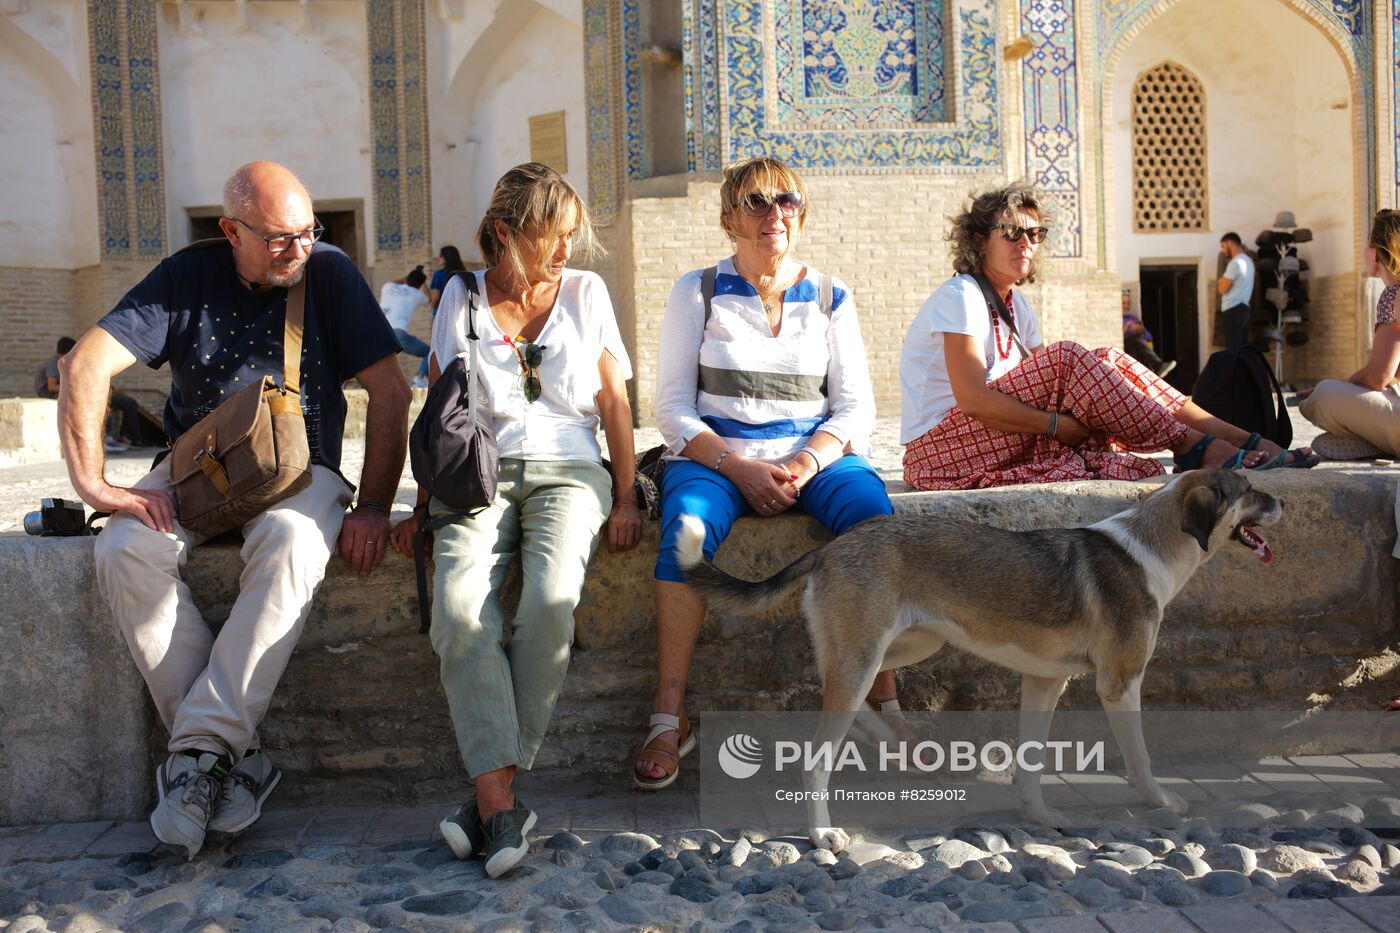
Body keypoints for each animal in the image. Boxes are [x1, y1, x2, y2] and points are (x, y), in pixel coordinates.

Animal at [677, 467, 1282, 846]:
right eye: (1250, 489)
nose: (1283, 502)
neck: (1151, 550)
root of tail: (831, 546)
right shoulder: (1119, 683)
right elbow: (1140, 761)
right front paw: (1163, 803)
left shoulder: (1045, 682)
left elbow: (1031, 764)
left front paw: (1041, 817)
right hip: (865, 658)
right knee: (816, 757)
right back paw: (822, 833)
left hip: (908, 644)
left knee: (840, 691)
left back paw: (879, 734)